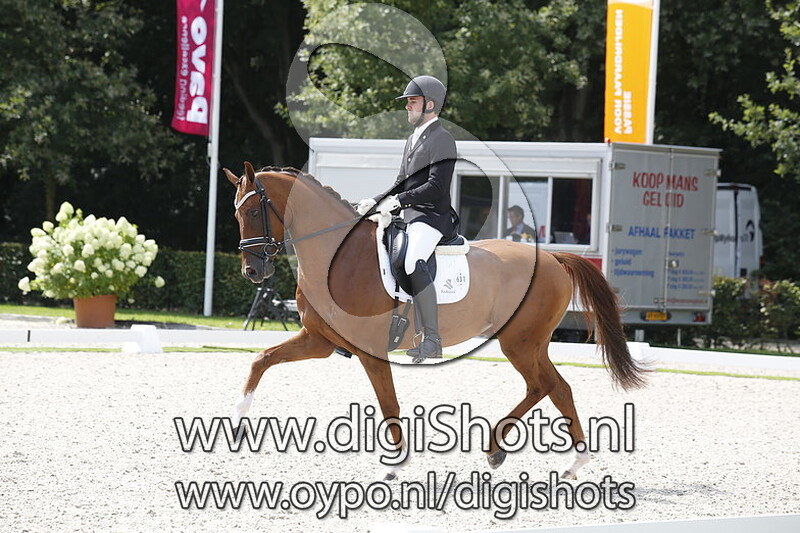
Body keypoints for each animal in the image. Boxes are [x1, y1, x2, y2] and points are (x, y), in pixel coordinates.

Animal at [224, 162, 645, 480]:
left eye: (253, 212)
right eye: (236, 213)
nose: (252, 271)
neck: (338, 257)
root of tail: (555, 258)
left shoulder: (371, 351)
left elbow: (389, 404)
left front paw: (395, 466)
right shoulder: (319, 340)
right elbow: (261, 360)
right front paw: (237, 422)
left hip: (519, 342)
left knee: (543, 386)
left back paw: (504, 449)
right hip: (531, 343)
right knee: (558, 388)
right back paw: (566, 463)